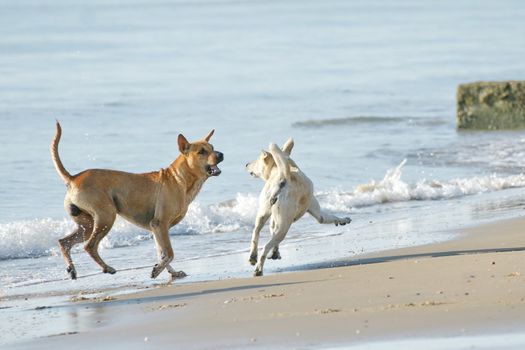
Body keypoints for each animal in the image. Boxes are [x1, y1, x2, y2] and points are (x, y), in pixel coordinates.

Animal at [52, 121, 223, 280]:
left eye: (212, 147)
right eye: (202, 152)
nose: (221, 154)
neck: (179, 178)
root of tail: (73, 178)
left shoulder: (156, 229)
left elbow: (162, 253)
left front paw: (168, 271)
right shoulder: (160, 224)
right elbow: (170, 253)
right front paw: (158, 269)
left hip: (87, 225)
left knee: (64, 242)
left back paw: (72, 269)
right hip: (106, 218)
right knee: (89, 246)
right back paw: (107, 268)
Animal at [246, 139, 352, 276]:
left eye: (256, 161)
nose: (246, 164)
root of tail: (283, 178)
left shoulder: (274, 220)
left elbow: (272, 231)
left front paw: (275, 252)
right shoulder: (317, 211)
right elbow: (329, 216)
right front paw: (344, 219)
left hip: (263, 215)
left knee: (256, 233)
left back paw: (253, 256)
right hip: (284, 225)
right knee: (266, 246)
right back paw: (259, 269)